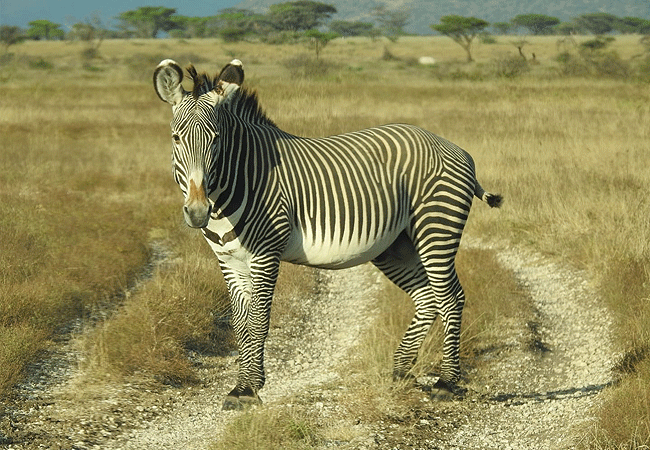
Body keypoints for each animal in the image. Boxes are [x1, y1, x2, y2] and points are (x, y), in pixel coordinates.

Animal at [153, 59, 502, 410]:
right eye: (176, 138)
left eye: (216, 139)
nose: (198, 212)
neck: (238, 181)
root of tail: (452, 147)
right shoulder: (229, 260)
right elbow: (241, 324)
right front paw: (242, 386)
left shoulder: (265, 253)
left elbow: (259, 320)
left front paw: (249, 389)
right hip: (396, 246)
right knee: (428, 298)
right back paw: (401, 372)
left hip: (437, 228)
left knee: (451, 297)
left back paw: (447, 382)